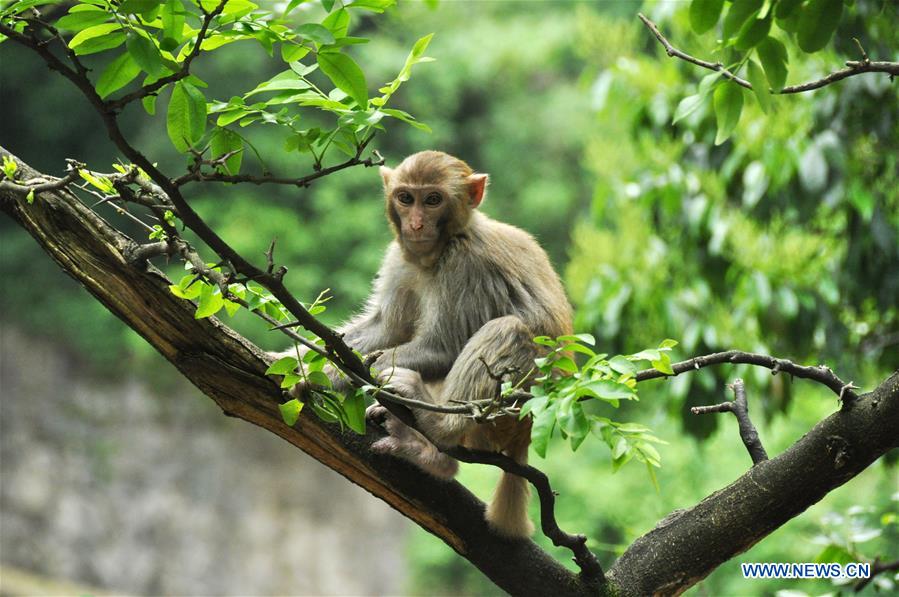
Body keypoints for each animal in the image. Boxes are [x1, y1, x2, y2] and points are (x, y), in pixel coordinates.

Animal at [284, 151, 572, 536]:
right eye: (406, 198)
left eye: (433, 200)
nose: (417, 225)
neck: (439, 250)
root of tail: (524, 436)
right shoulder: (398, 256)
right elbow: (385, 331)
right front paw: (293, 360)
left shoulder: (464, 264)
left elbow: (443, 348)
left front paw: (323, 376)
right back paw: (427, 453)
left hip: (513, 407)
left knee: (508, 329)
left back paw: (438, 429)